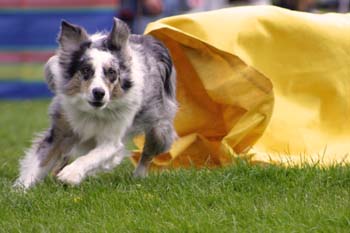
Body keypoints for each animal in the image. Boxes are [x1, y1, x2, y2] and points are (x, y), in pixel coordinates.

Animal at [13, 17, 178, 189]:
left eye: (112, 72)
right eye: (86, 70)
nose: (99, 93)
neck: (92, 111)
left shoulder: (111, 141)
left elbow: (91, 157)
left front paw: (70, 174)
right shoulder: (60, 131)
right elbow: (38, 162)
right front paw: (20, 189)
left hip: (159, 128)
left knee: (148, 153)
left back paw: (138, 176)